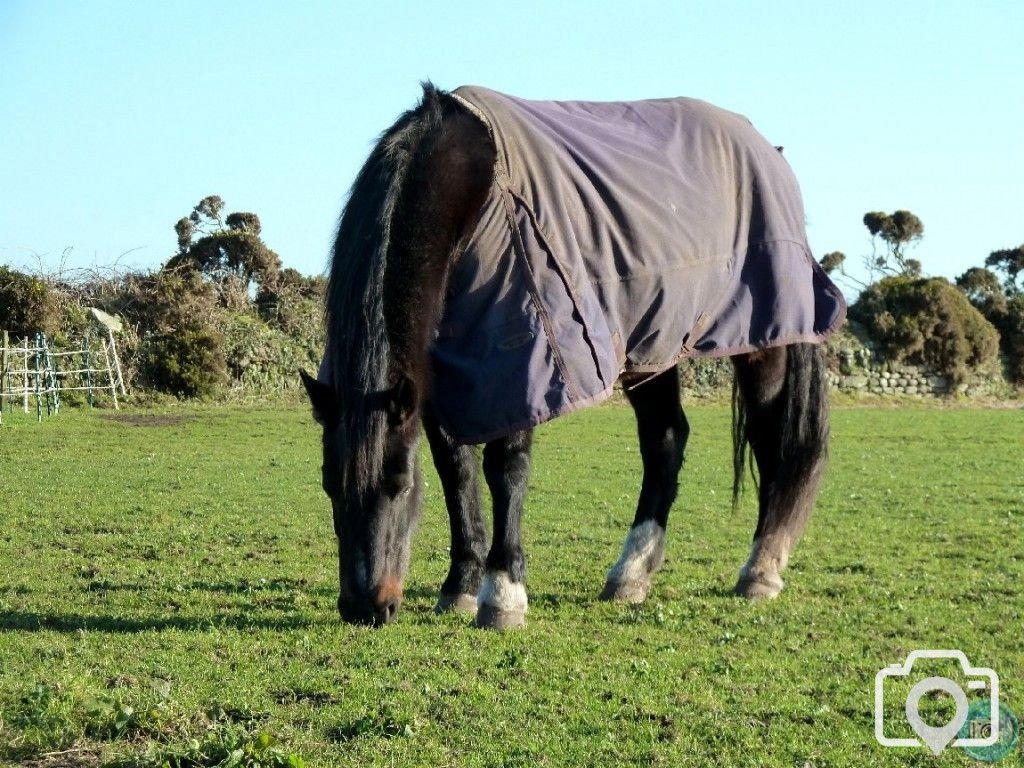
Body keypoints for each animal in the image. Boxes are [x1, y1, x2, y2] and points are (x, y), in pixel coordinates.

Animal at [299, 83, 843, 626]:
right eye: (327, 482)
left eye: (398, 482)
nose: (365, 608)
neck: (469, 187)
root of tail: (768, 152)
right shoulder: (440, 375)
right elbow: (455, 470)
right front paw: (460, 586)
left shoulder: (519, 357)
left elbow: (505, 467)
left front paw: (502, 595)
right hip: (653, 344)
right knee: (665, 439)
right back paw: (630, 575)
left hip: (765, 340)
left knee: (773, 442)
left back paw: (760, 571)